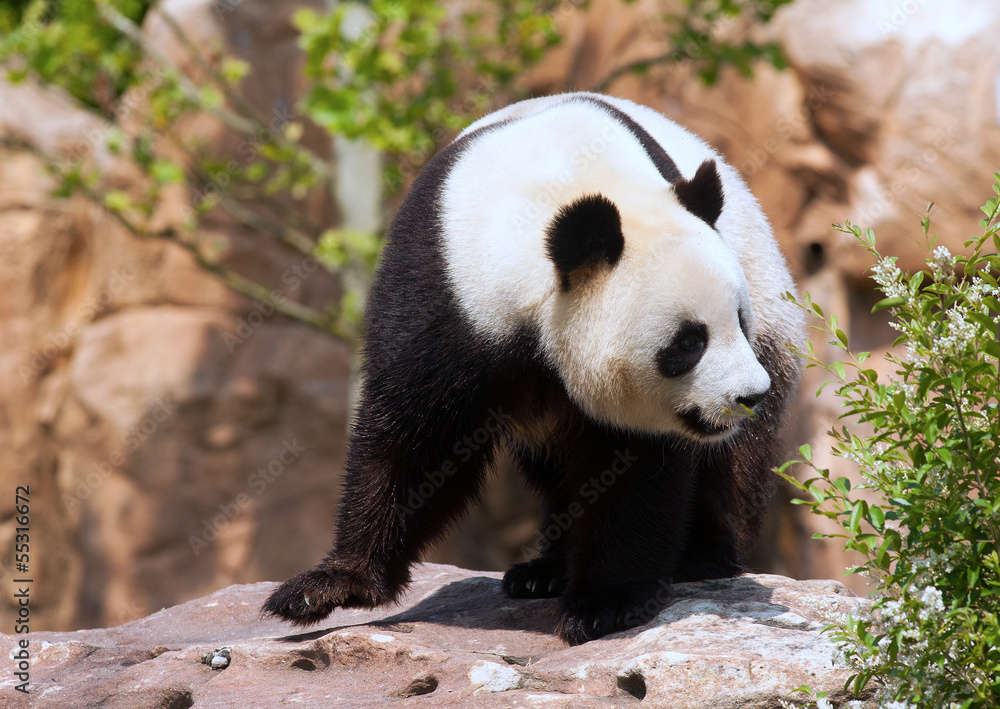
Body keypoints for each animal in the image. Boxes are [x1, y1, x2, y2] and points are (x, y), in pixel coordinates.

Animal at [263, 92, 803, 645]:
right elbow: (412, 435)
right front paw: (328, 586)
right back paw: (545, 570)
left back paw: (699, 557)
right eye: (689, 342)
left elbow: (636, 466)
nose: (748, 395)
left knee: (735, 463)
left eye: (738, 320)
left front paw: (605, 601)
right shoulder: (439, 288)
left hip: (769, 303)